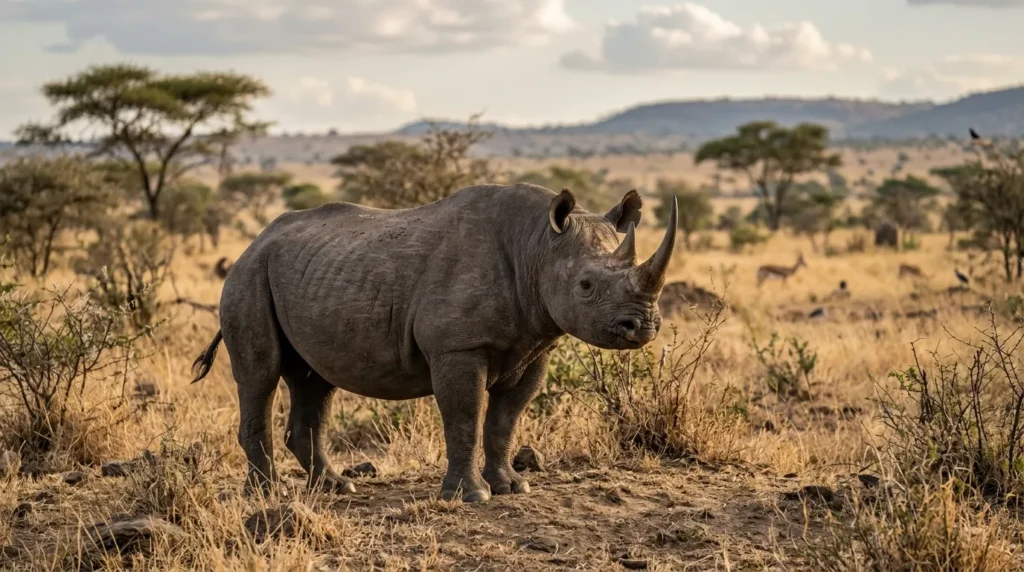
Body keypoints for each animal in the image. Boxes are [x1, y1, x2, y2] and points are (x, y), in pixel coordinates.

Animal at [191, 183, 677, 502]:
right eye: (586, 285)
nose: (643, 326)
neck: (539, 245)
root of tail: (253, 243)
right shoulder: (457, 347)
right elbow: (464, 416)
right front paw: (470, 496)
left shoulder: (535, 344)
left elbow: (504, 420)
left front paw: (511, 487)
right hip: (247, 278)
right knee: (260, 375)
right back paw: (265, 495)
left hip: (304, 273)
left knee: (314, 381)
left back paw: (335, 487)